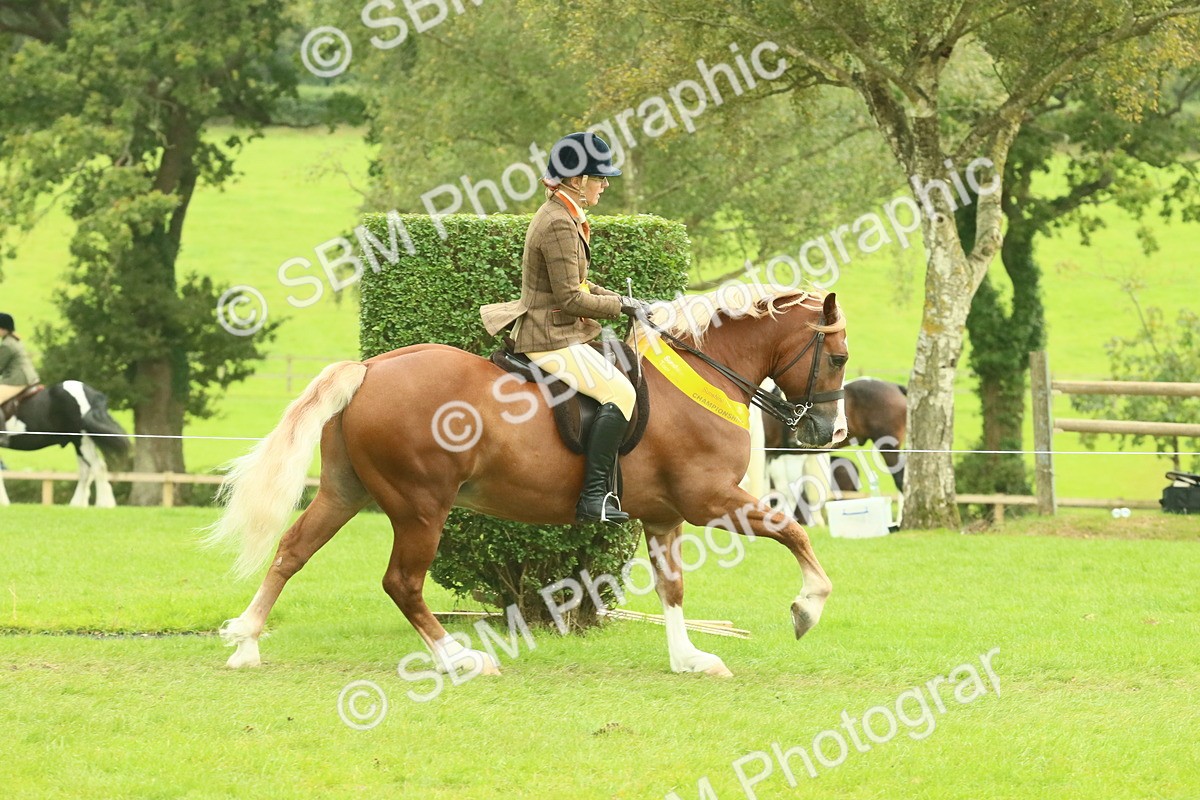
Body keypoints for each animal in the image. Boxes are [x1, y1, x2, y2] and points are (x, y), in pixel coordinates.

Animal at [0, 380, 130, 507]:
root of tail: (92, 394)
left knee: (98, 467)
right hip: (78, 442)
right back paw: (77, 505)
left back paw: (104, 504)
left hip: (82, 440)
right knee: (86, 471)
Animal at [206, 286, 849, 678]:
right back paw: (460, 659)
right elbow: (794, 531)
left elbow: (673, 588)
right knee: (402, 583)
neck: (700, 375)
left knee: (293, 551)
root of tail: (370, 368)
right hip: (421, 506)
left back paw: (246, 641)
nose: (832, 432)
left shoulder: (665, 515)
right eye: (840, 358)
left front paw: (689, 658)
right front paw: (807, 608)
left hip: (346, 492)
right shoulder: (711, 501)